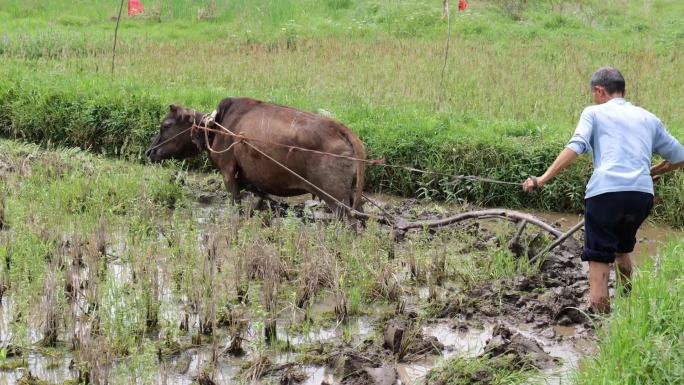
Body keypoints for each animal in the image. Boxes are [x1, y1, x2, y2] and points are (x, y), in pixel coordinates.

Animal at [146, 97, 366, 214]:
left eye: (165, 125)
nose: (149, 152)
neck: (216, 127)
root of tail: (340, 129)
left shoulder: (228, 174)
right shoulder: (258, 186)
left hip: (337, 200)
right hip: (351, 195)